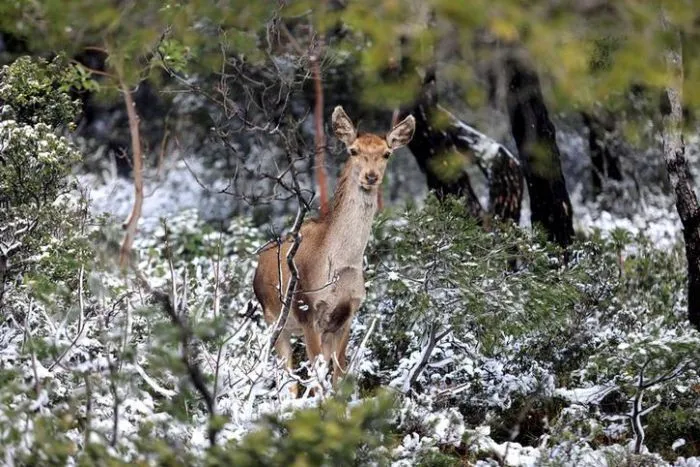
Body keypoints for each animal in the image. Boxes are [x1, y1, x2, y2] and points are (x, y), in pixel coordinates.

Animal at [253, 105, 412, 392]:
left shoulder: (348, 314)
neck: (341, 265)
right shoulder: (307, 310)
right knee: (287, 380)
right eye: (353, 150)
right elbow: (317, 380)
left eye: (386, 153)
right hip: (274, 320)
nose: (371, 176)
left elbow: (338, 374)